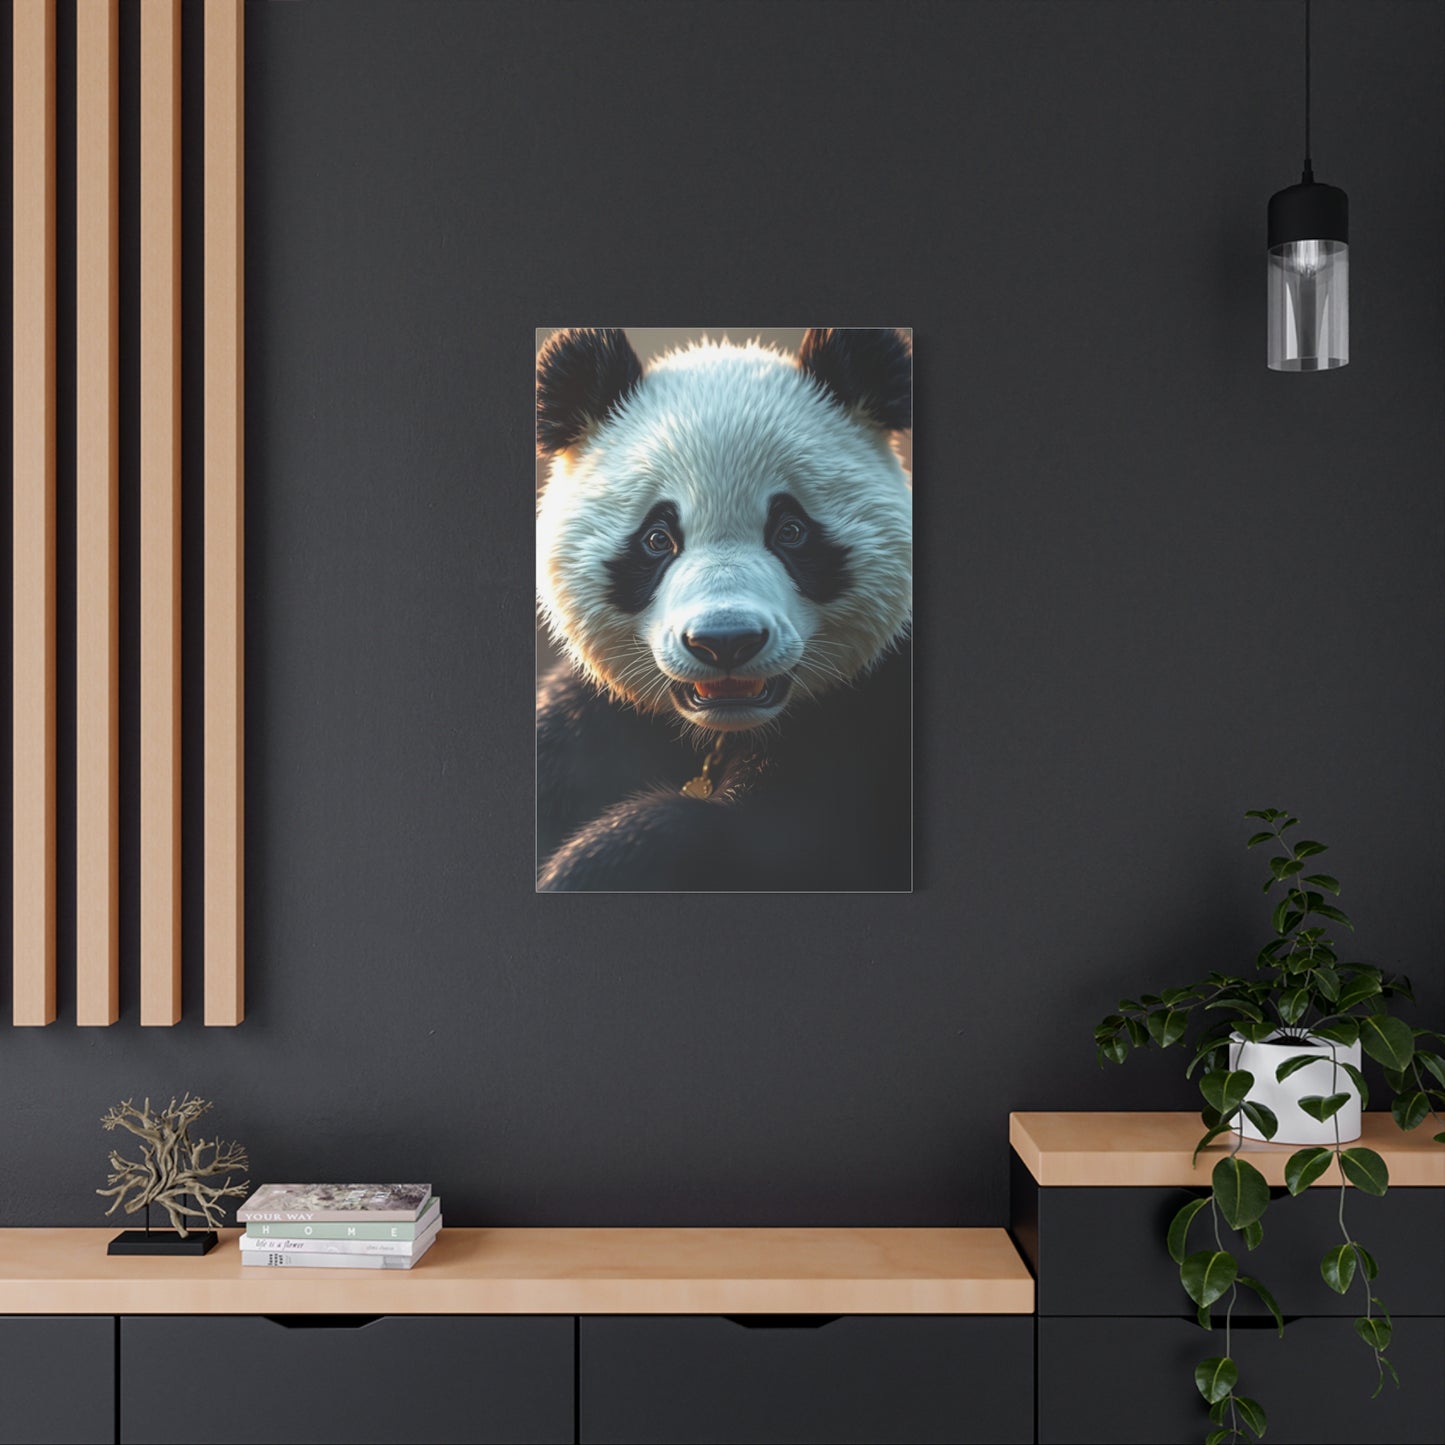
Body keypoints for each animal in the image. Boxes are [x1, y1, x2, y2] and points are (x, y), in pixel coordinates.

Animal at [536, 326, 912, 892]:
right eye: (657, 538)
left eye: (791, 531)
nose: (725, 641)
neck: (721, 731)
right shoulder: (597, 720)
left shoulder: (872, 722)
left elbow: (775, 844)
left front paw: (592, 863)